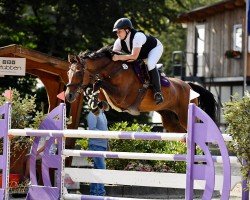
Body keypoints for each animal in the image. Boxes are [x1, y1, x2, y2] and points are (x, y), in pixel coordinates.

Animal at [65, 45, 217, 133]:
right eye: (68, 73)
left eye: (78, 73)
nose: (68, 96)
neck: (114, 70)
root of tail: (188, 85)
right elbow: (97, 88)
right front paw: (95, 105)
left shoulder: (122, 97)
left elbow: (99, 83)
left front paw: (95, 104)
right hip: (170, 120)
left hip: (185, 115)